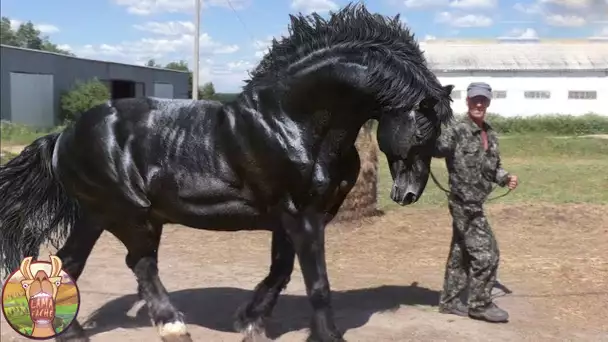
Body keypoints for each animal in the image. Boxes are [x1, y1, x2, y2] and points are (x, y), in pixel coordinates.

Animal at [0, 3, 452, 342]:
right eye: (425, 128)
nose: (408, 193)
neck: (293, 122)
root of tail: (62, 136)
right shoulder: (301, 216)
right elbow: (317, 283)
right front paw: (326, 336)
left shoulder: (291, 219)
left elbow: (281, 272)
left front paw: (250, 320)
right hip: (127, 214)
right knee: (138, 263)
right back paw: (171, 325)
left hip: (98, 214)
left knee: (71, 263)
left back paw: (76, 332)